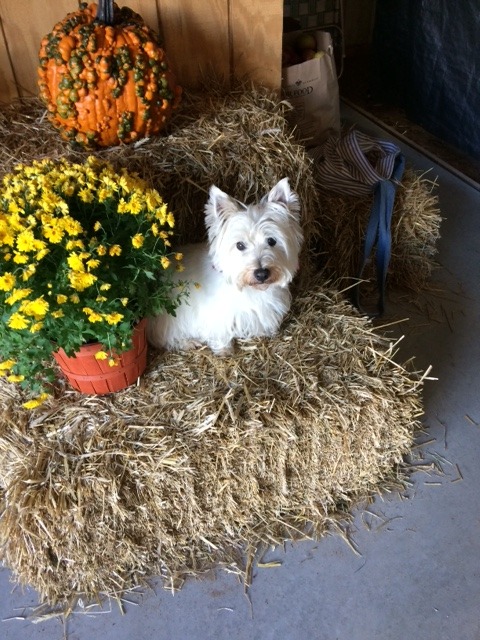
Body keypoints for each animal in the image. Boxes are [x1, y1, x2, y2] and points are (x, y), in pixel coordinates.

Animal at [147, 178, 304, 352]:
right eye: (240, 245)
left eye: (271, 241)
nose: (261, 273)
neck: (252, 290)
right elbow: (220, 333)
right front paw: (224, 350)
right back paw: (188, 342)